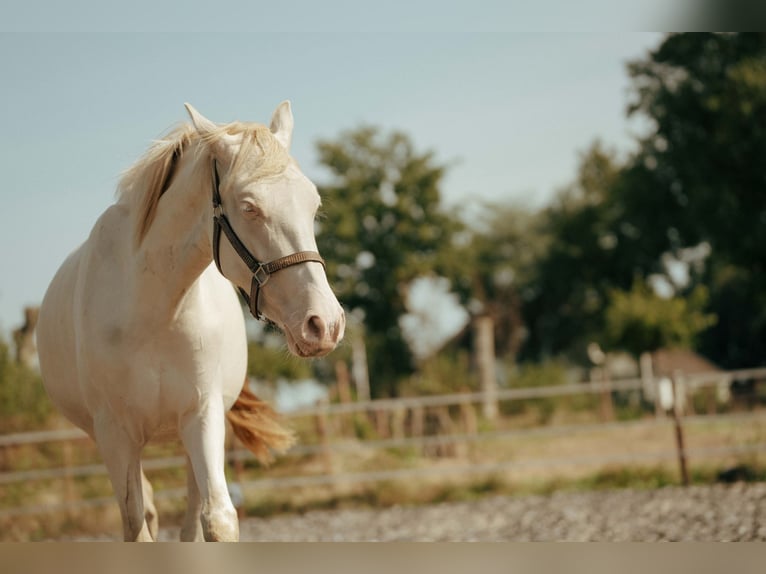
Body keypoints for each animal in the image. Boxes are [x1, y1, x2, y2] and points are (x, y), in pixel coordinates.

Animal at [36, 102, 346, 540]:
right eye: (249, 207)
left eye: (313, 206)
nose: (324, 324)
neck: (153, 309)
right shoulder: (115, 434)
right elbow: (136, 524)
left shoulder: (201, 415)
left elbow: (217, 518)